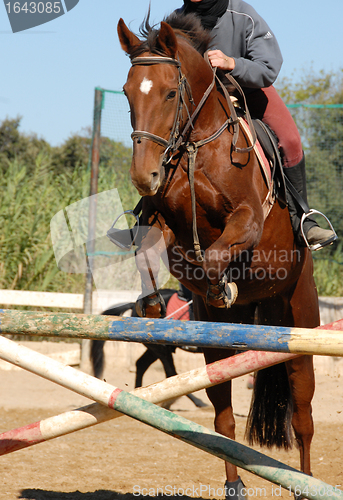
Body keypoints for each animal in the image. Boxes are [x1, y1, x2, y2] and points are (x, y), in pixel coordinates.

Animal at [117, 12, 322, 500]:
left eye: (171, 93)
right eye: (127, 92)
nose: (144, 176)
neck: (195, 145)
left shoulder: (248, 219)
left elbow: (215, 254)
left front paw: (218, 283)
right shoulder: (161, 219)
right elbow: (149, 246)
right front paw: (153, 305)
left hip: (301, 320)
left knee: (303, 418)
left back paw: (304, 484)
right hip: (220, 349)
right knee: (224, 418)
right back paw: (235, 485)